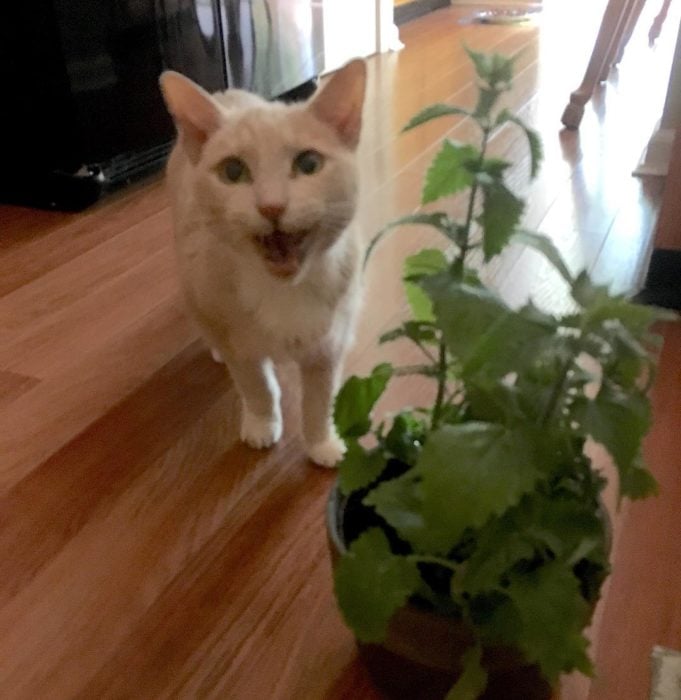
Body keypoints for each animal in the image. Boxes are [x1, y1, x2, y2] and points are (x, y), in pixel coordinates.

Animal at [159, 58, 366, 464]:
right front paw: (261, 424)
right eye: (233, 171)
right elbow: (257, 386)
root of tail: (226, 91)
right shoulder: (237, 340)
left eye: (309, 163)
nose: (272, 206)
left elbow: (320, 401)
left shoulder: (331, 343)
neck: (282, 289)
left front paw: (321, 444)